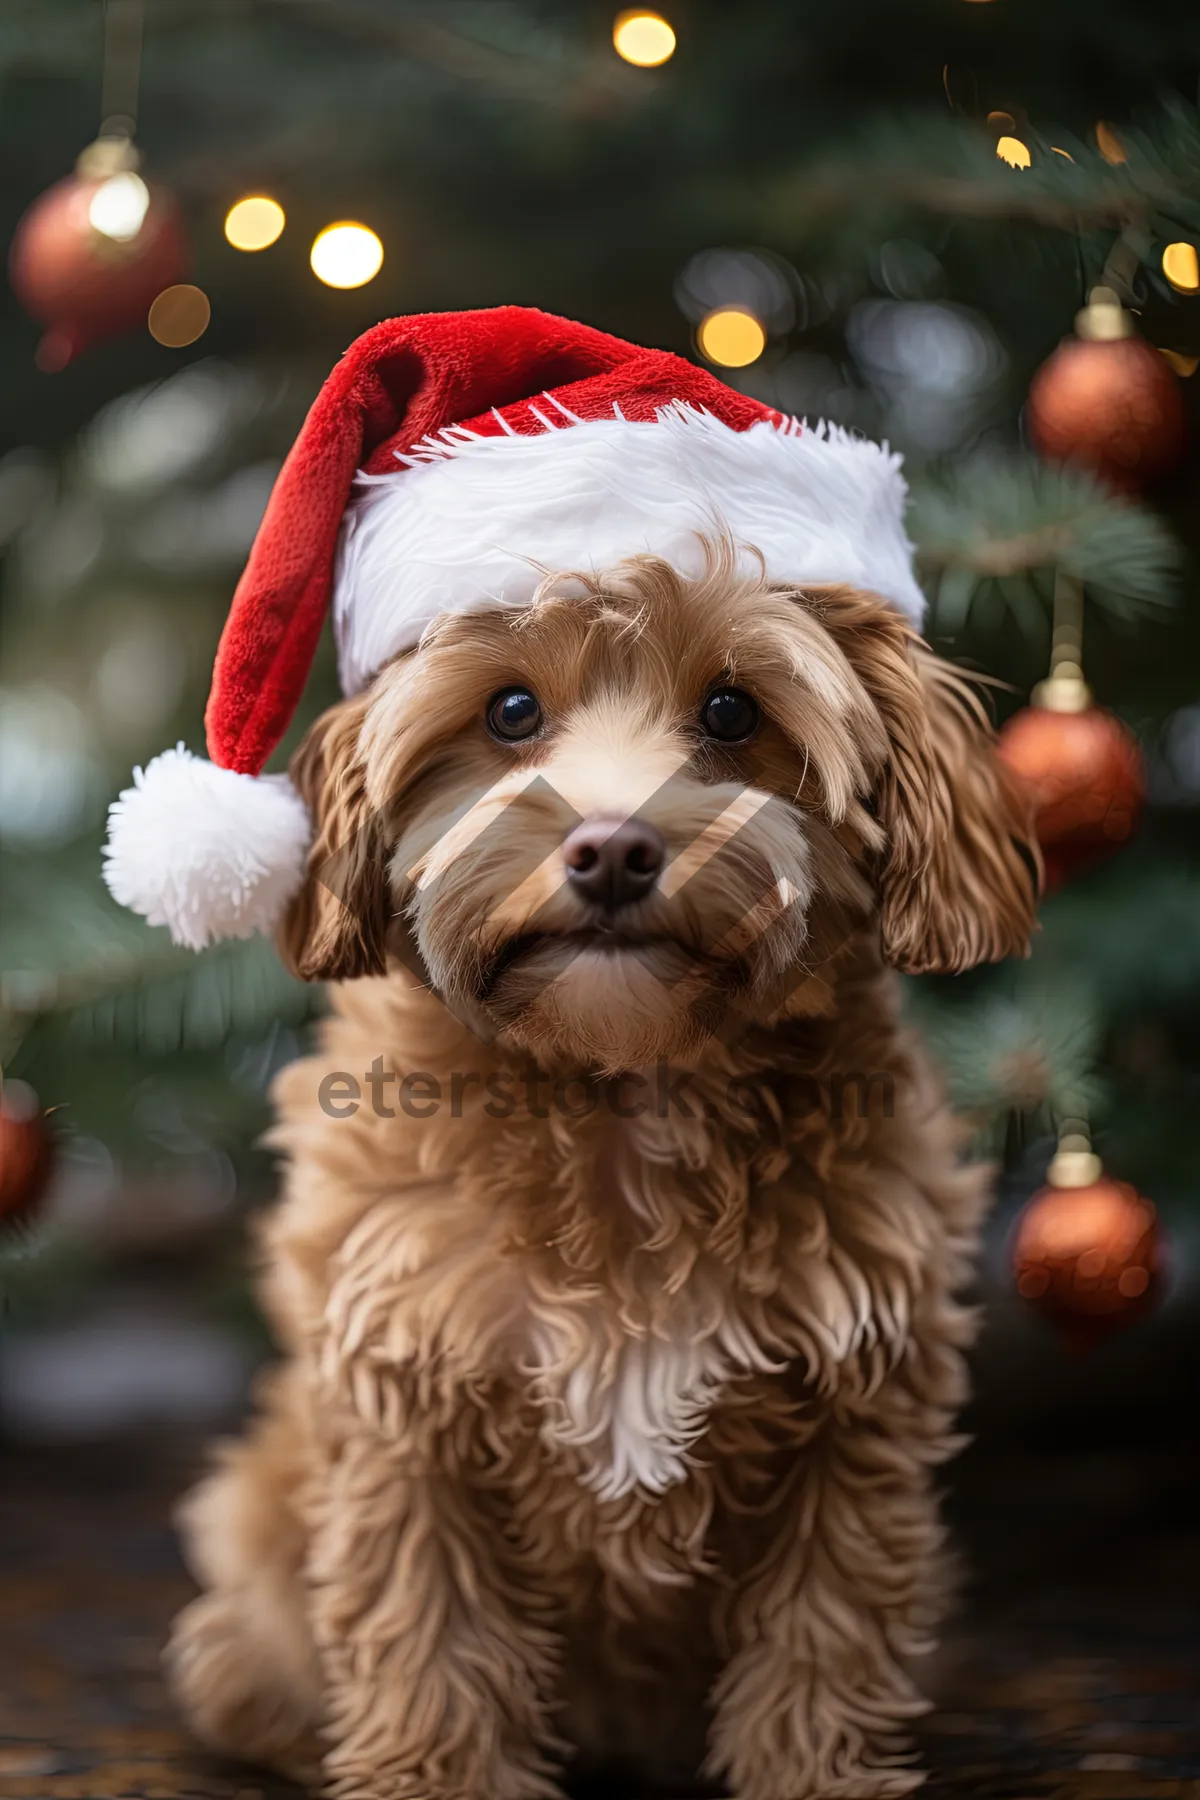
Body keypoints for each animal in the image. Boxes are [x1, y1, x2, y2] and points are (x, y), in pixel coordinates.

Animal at [169, 547, 1043, 1800]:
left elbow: (822, 1638)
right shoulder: (409, 1417)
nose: (613, 848)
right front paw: (438, 1780)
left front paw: (817, 1775)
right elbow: (430, 1641)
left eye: (731, 711)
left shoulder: (856, 1418)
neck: (627, 1092)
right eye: (510, 711)